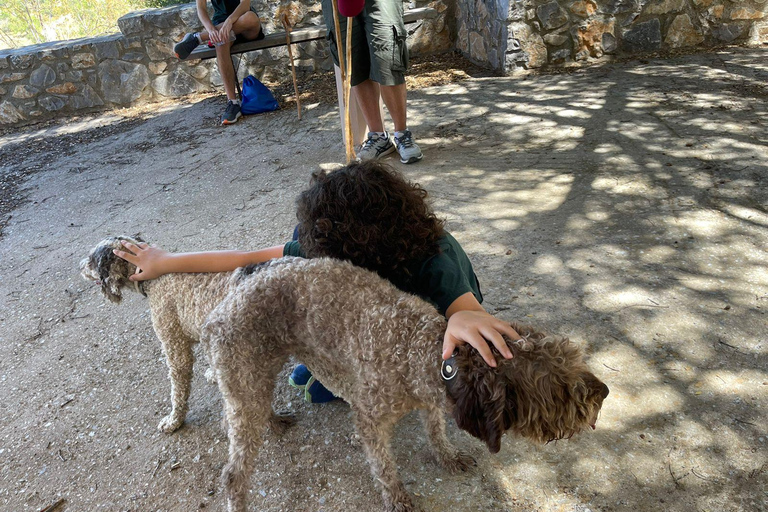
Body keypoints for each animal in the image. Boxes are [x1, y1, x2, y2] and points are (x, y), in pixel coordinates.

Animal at [79, 235, 294, 432]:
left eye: (91, 260)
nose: (80, 267)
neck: (154, 280)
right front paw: (213, 374)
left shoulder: (174, 346)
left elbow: (178, 391)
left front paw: (174, 420)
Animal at [201, 256, 608, 512]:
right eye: (558, 387)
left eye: (572, 357)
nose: (603, 392)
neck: (418, 351)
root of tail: (224, 303)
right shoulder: (375, 416)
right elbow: (383, 466)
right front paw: (396, 496)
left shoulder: (430, 400)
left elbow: (436, 431)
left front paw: (446, 456)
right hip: (247, 379)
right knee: (232, 475)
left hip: (290, 363)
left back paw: (274, 420)